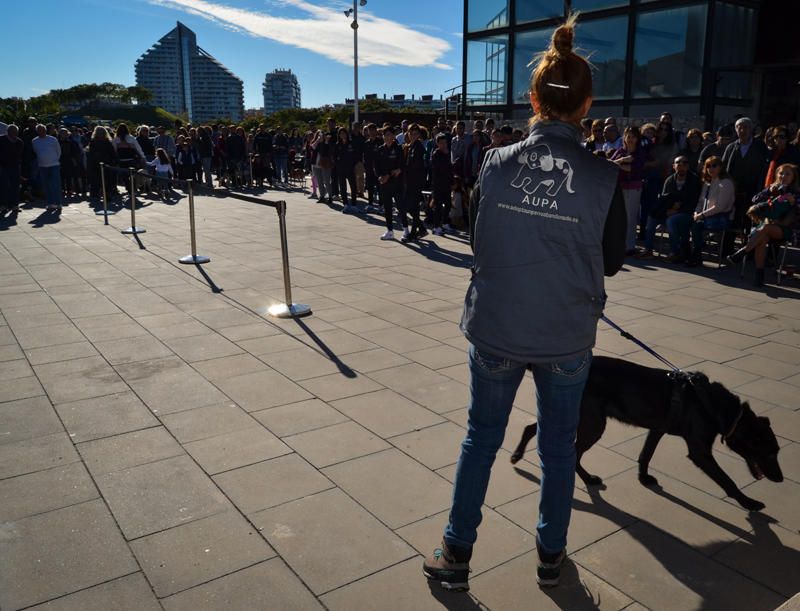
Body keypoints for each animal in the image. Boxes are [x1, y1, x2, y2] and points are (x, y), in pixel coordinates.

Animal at [512, 354, 780, 512]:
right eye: (769, 453)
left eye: (776, 451)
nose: (780, 479)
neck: (715, 406)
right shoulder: (699, 451)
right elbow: (727, 480)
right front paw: (748, 502)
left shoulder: (657, 429)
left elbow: (645, 455)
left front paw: (643, 478)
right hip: (592, 423)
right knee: (574, 452)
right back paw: (584, 478)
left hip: (574, 415)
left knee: (533, 428)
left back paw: (519, 455)